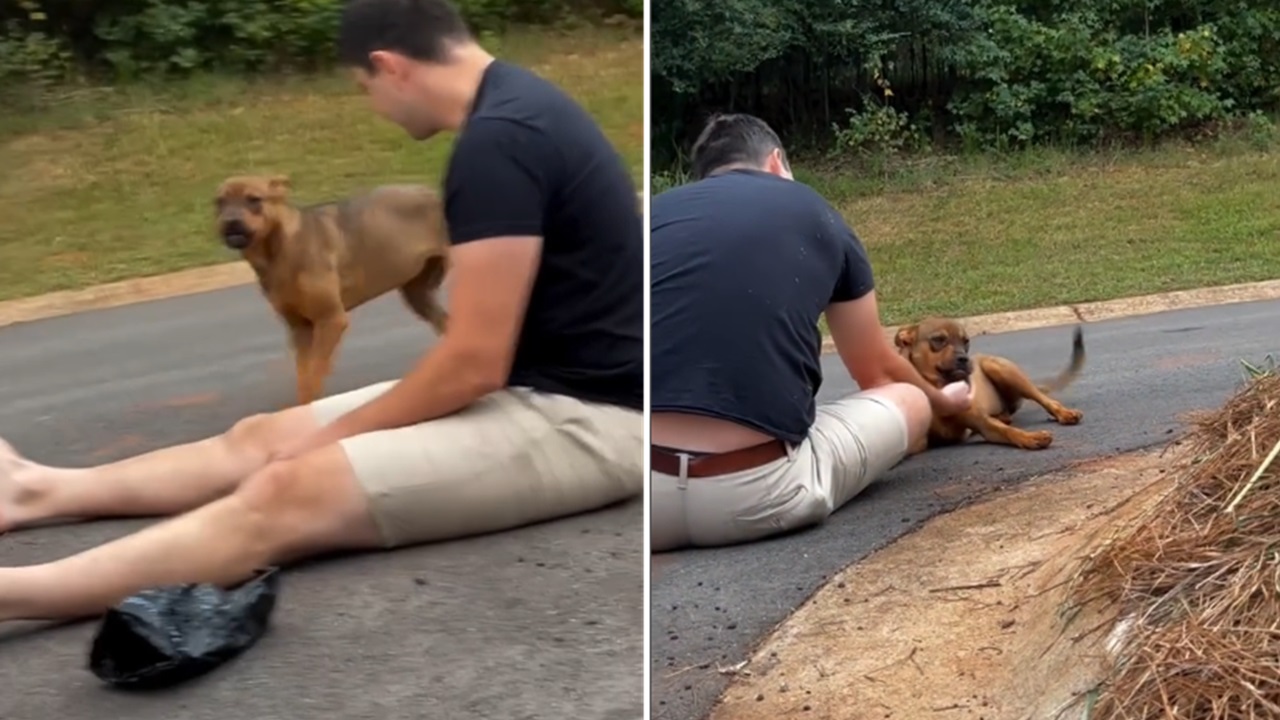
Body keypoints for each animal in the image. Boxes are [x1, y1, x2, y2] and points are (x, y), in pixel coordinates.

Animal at [220, 174, 455, 404]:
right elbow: (304, 378)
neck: (279, 249)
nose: (230, 222)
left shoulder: (331, 319)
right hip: (418, 295)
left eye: (254, 199)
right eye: (219, 203)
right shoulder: (300, 328)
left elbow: (314, 376)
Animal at [896, 316, 1085, 450]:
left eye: (966, 341)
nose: (964, 359)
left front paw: (1031, 437)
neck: (939, 388)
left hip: (1002, 369)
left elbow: (1008, 431)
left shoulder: (983, 424)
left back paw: (1064, 413)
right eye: (938, 339)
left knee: (1045, 400)